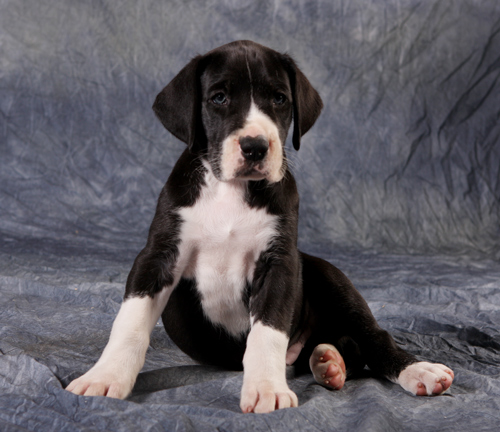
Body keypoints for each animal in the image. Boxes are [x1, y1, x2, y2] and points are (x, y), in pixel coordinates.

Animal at [68, 41, 456, 416]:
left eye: (280, 99)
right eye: (219, 98)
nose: (255, 147)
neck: (232, 191)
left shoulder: (279, 265)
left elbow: (266, 332)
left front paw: (266, 389)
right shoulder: (158, 256)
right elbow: (130, 322)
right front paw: (104, 377)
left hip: (328, 277)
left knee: (374, 339)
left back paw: (416, 370)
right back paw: (329, 362)